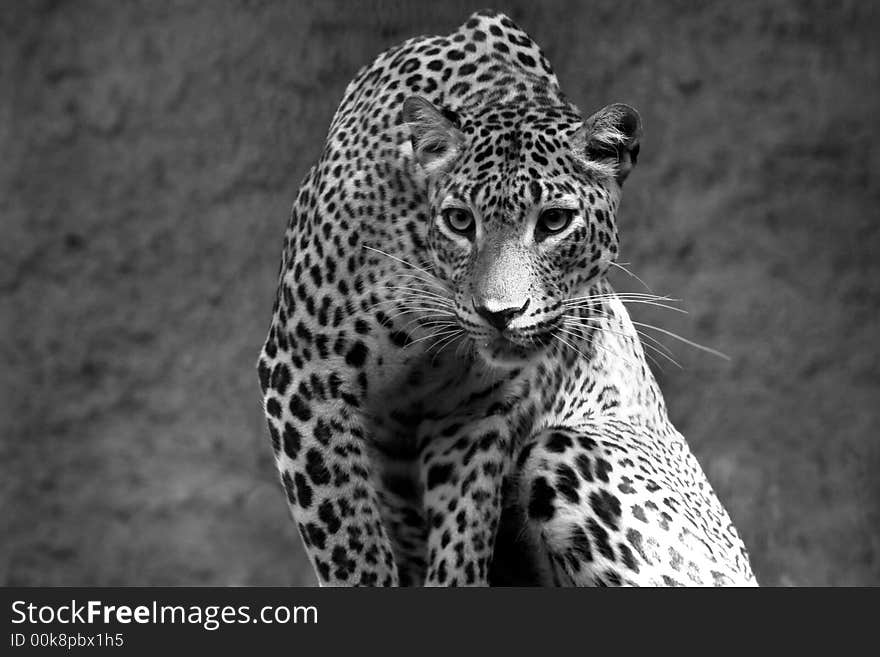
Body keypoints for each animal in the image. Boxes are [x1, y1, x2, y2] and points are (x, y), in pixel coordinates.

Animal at [254, 9, 756, 584]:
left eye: (554, 222)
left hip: (573, 446)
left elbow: (462, 538)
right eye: (459, 221)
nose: (500, 314)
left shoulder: (473, 413)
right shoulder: (306, 372)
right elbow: (348, 540)